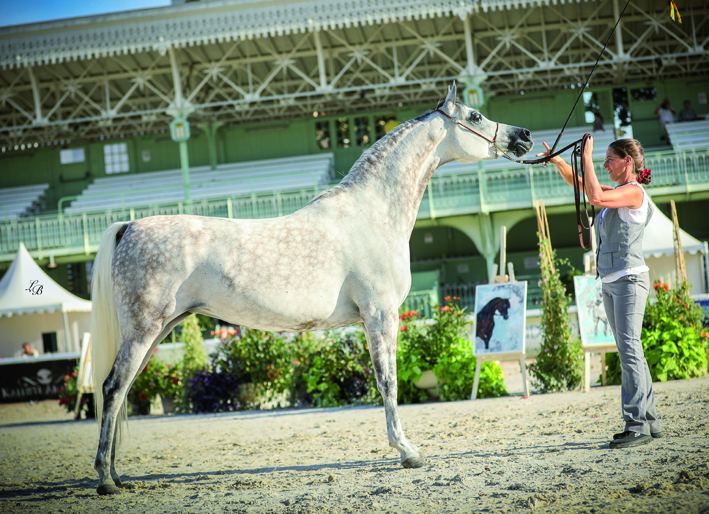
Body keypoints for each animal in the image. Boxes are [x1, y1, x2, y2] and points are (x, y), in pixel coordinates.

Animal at [90, 82, 532, 494]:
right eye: (475, 116)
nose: (524, 136)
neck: (372, 213)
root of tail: (130, 226)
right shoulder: (381, 314)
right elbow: (387, 381)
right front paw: (407, 451)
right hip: (144, 328)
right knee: (112, 387)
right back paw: (105, 479)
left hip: (157, 330)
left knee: (123, 390)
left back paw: (117, 475)